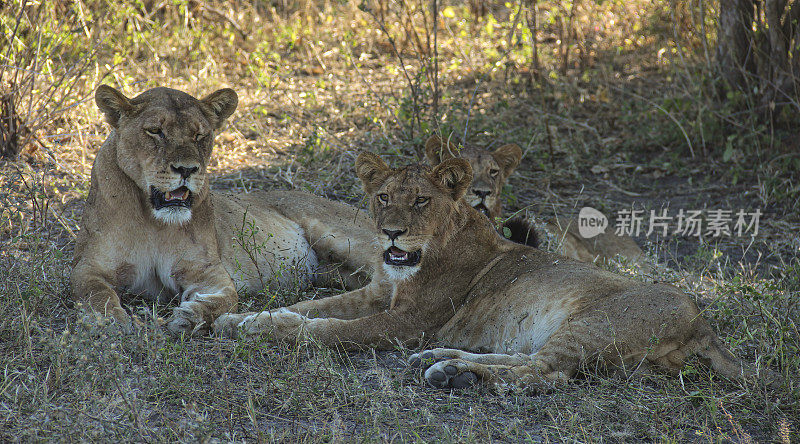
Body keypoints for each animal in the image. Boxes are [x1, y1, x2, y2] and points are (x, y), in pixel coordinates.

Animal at [72, 86, 376, 336]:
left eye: (199, 135)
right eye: (155, 131)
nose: (187, 169)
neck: (153, 220)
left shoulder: (208, 273)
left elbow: (224, 301)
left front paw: (190, 317)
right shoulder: (87, 267)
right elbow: (96, 295)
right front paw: (111, 321)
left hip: (346, 239)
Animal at [214, 153, 776, 392]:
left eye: (421, 201)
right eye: (384, 197)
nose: (391, 234)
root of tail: (704, 323)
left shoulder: (405, 321)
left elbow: (328, 330)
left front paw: (270, 330)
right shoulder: (378, 296)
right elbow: (311, 307)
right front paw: (244, 320)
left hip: (594, 323)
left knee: (544, 374)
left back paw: (453, 374)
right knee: (529, 363)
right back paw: (443, 362)